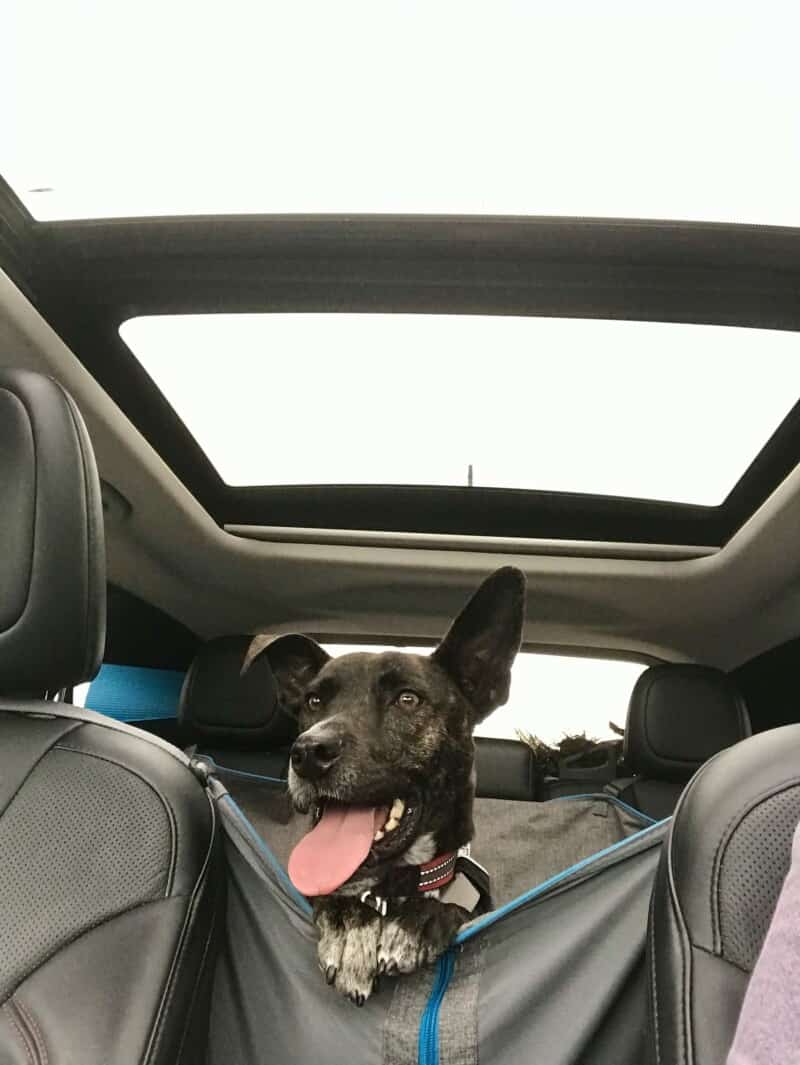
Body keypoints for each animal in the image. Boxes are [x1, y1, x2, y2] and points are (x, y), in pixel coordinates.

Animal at [251, 570, 526, 1001]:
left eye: (407, 699)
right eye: (313, 701)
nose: (309, 751)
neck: (389, 890)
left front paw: (420, 919)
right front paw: (350, 924)